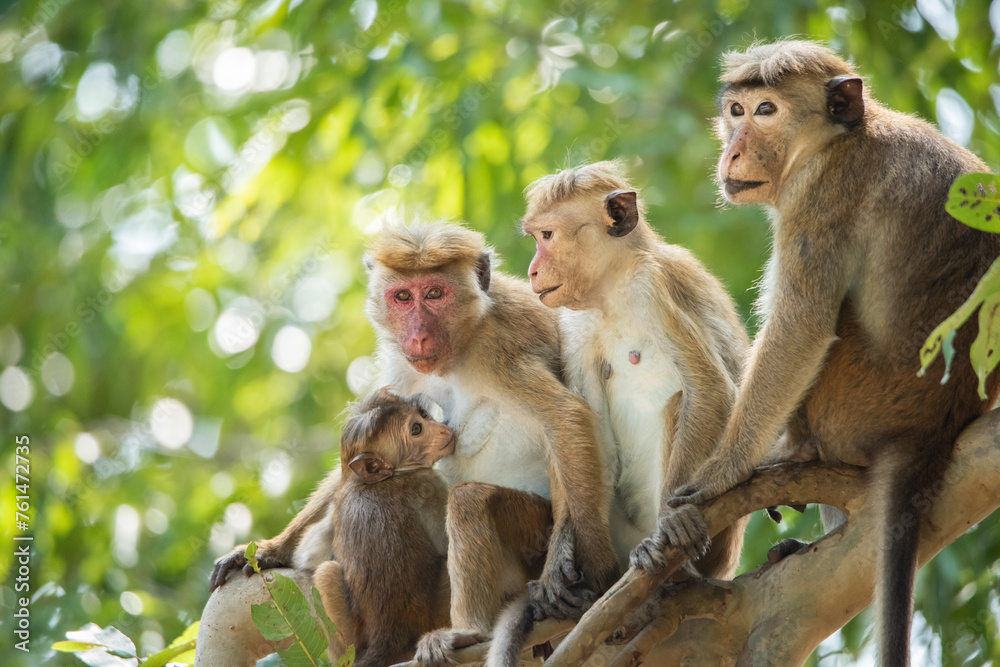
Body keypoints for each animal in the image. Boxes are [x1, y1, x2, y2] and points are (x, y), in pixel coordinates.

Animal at [312, 386, 454, 667]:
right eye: (416, 429)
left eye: (423, 414)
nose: (443, 429)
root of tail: (388, 640)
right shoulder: (427, 483)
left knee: (326, 573)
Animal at [364, 218, 620, 664]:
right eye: (402, 297)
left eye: (435, 294)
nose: (418, 336)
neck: (463, 342)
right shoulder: (404, 363)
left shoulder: (499, 348)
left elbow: (565, 417)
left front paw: (598, 572)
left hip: (532, 532)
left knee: (470, 501)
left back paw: (468, 632)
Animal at [656, 43, 1000, 667]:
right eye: (736, 110)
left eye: (766, 110)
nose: (732, 147)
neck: (839, 139)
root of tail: (932, 427)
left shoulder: (820, 193)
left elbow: (802, 326)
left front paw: (723, 470)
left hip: (855, 402)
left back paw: (794, 452)